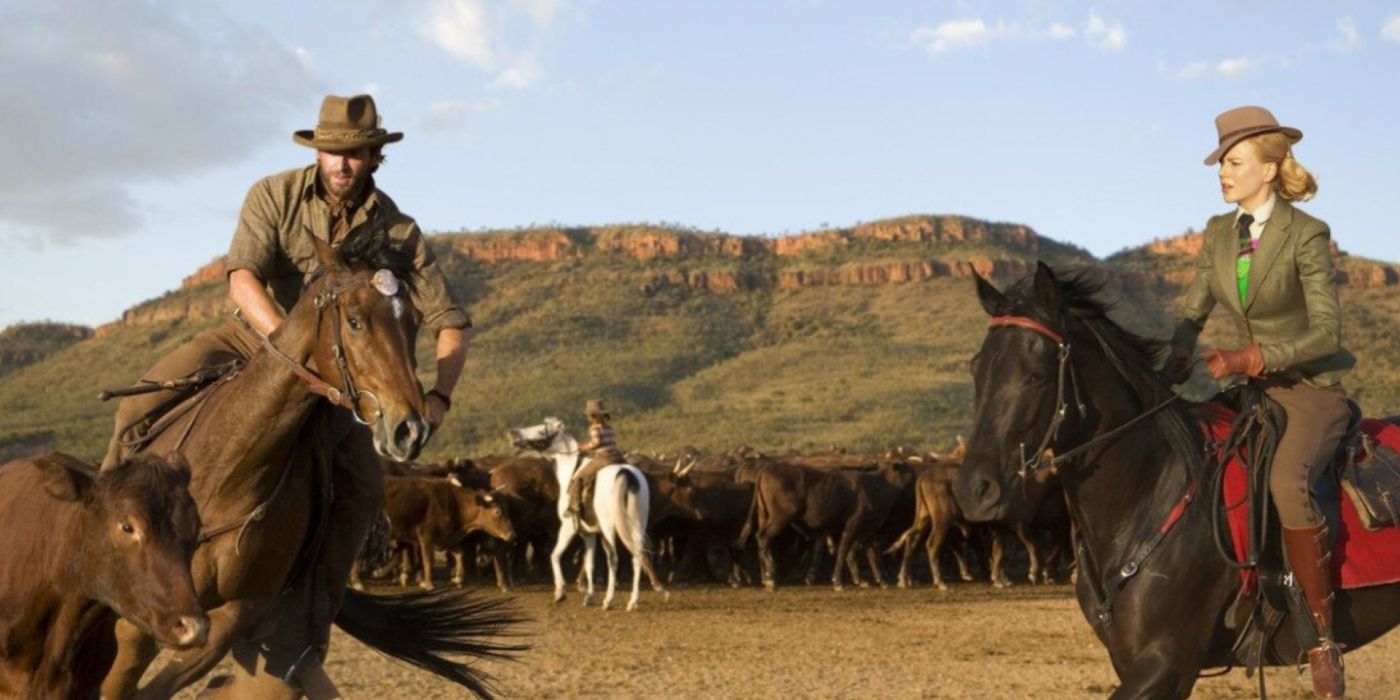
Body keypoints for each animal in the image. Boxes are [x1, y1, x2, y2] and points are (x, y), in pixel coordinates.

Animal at [383, 473, 515, 588]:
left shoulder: (444, 538)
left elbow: (460, 553)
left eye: (507, 509)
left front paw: (458, 578)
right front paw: (428, 584)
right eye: (497, 511)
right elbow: (428, 560)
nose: (512, 535)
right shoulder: (426, 536)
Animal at [509, 417, 666, 610]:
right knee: (637, 556)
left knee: (613, 558)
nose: (514, 433)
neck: (571, 469)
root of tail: (627, 474)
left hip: (608, 529)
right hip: (637, 525)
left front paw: (560, 592)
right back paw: (632, 601)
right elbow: (589, 563)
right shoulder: (588, 533)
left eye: (541, 430)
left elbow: (555, 555)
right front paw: (589, 596)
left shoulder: (568, 528)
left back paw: (609, 600)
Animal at [952, 263, 1400, 700]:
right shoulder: (1134, 662)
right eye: (976, 369)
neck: (1151, 495)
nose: (974, 489)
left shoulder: (1167, 665)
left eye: (1036, 376)